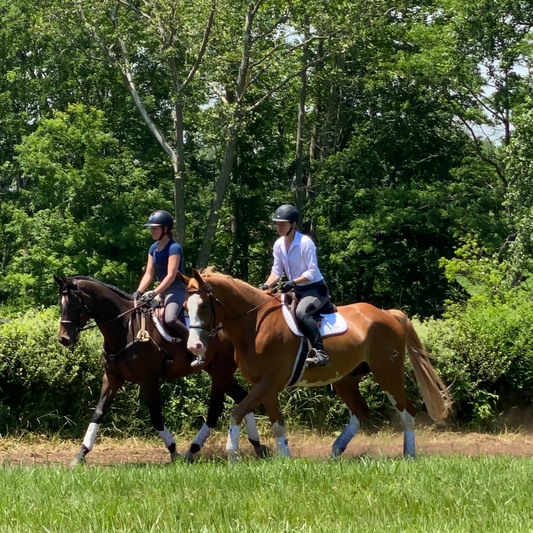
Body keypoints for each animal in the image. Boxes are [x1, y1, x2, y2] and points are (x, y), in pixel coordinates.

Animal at [54, 276, 266, 464]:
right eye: (60, 303)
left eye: (72, 304)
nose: (64, 338)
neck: (124, 328)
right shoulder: (112, 378)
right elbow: (98, 412)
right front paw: (81, 453)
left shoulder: (149, 379)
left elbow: (156, 417)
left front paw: (173, 451)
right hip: (218, 371)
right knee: (242, 398)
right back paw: (257, 445)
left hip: (221, 370)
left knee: (215, 409)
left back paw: (193, 450)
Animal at [181, 268, 450, 460]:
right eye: (185, 307)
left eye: (203, 306)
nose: (194, 346)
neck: (255, 323)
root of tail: (387, 314)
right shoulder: (266, 387)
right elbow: (276, 423)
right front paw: (284, 458)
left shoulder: (269, 383)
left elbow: (237, 412)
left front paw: (232, 455)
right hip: (346, 379)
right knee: (361, 411)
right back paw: (336, 451)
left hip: (387, 373)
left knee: (407, 411)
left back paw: (409, 455)